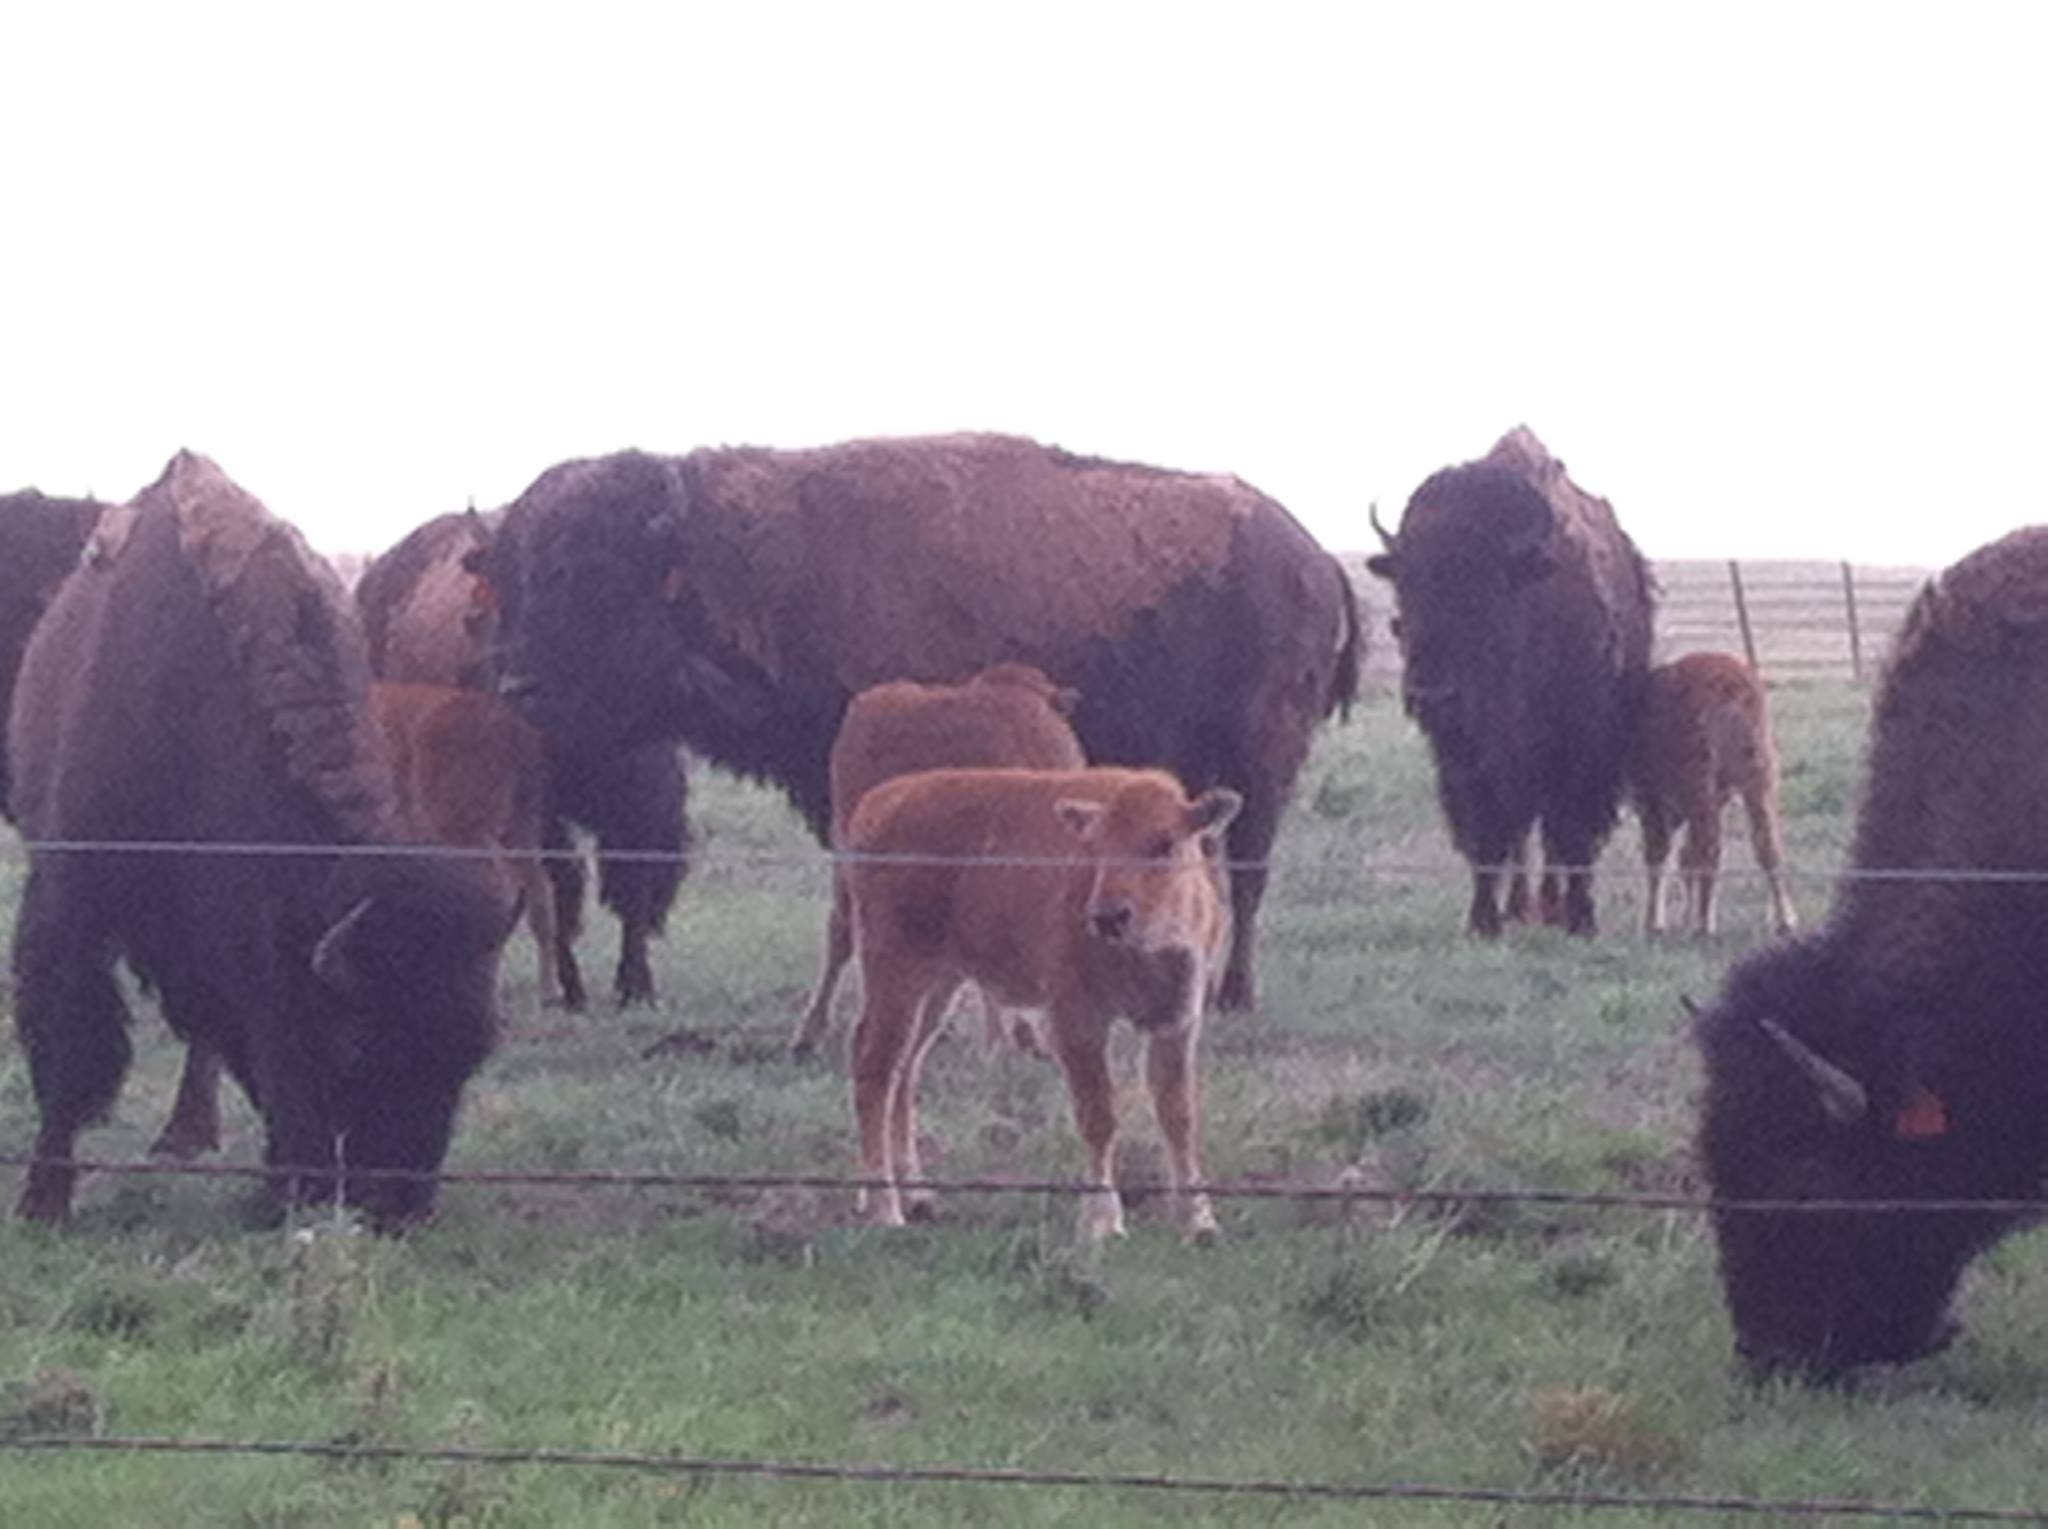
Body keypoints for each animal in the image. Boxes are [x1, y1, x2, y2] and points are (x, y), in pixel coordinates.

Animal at [8, 453, 508, 1227]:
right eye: (355, 1046)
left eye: (471, 1051)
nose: (400, 1208)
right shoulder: (72, 893)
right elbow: (69, 1046)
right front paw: (43, 1201)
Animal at [478, 433, 1361, 1011]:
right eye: (522, 573)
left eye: (596, 577)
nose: (517, 684)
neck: (756, 563)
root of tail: (1313, 558)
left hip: (1262, 757)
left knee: (1248, 872)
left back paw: (1231, 995)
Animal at [1367, 427, 1655, 936]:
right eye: (1405, 583)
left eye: (1488, 585)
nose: (1432, 695)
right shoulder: (1466, 761)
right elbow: (1488, 838)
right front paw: (1483, 921)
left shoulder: (1583, 748)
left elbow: (1572, 834)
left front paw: (1582, 918)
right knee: (1523, 837)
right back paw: (1521, 907)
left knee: (1553, 835)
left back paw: (1552, 908)